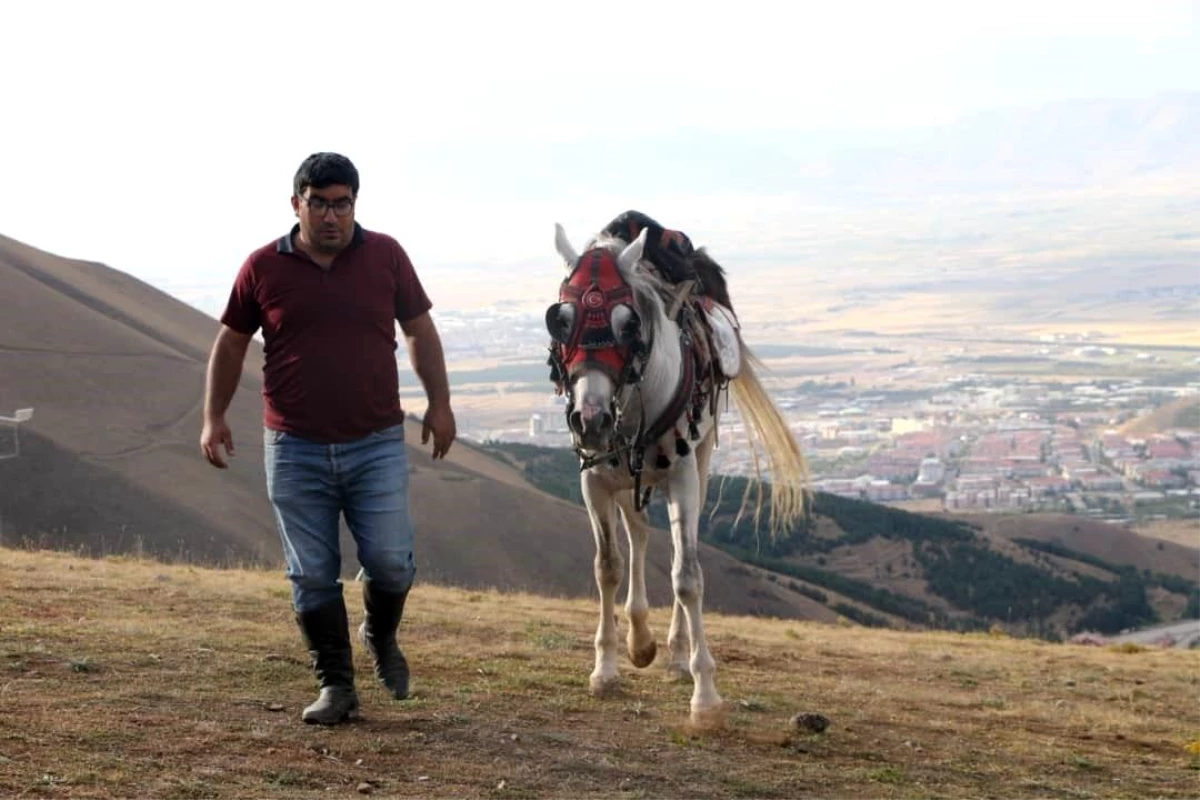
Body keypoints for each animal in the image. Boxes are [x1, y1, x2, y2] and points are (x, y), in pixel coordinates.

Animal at [547, 220, 811, 724]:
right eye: (560, 319)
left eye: (628, 323)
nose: (590, 420)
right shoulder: (594, 481)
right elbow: (607, 566)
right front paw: (606, 668)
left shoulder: (683, 479)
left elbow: (687, 577)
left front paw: (705, 694)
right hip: (627, 476)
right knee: (638, 533)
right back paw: (640, 639)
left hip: (697, 460)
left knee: (673, 548)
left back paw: (673, 653)